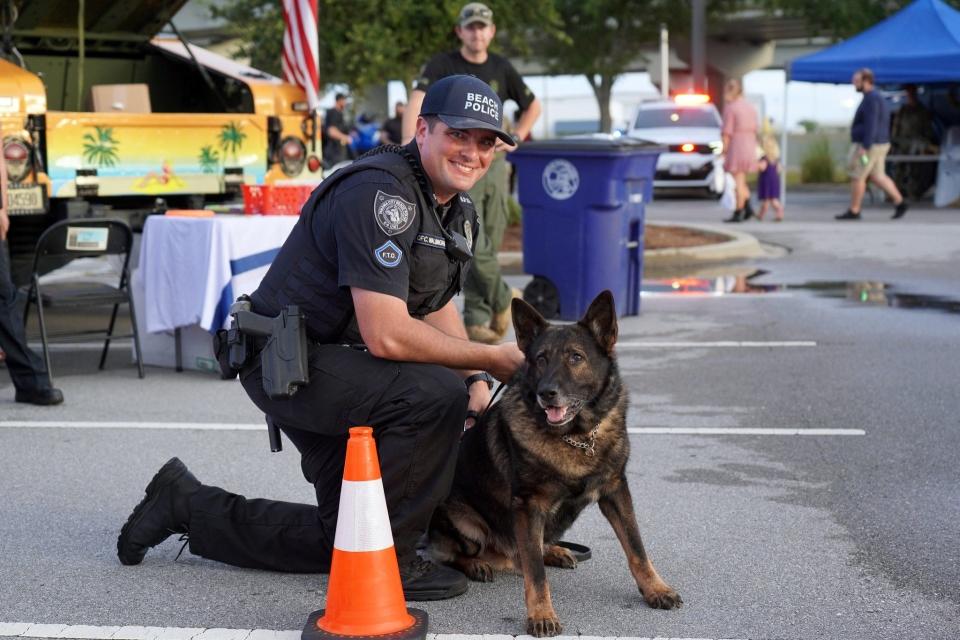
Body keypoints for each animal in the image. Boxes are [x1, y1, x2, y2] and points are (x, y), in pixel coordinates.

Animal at [428, 290, 684, 636]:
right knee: (461, 555)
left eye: (575, 357)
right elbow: (535, 573)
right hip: (461, 518)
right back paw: (477, 564)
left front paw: (655, 589)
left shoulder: (616, 492)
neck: (578, 436)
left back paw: (554, 550)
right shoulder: (528, 505)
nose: (547, 393)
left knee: (528, 550)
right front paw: (541, 614)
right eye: (540, 359)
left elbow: (637, 548)